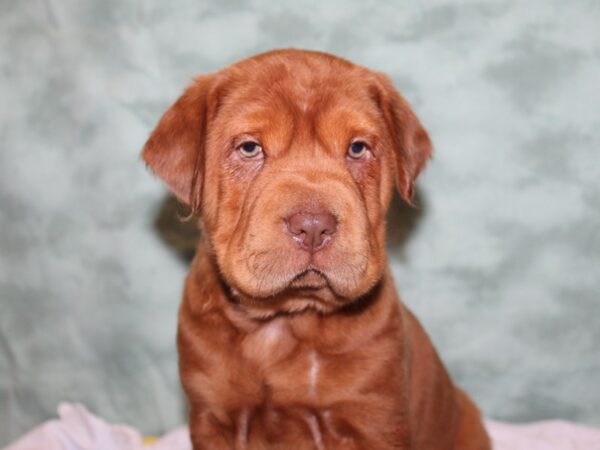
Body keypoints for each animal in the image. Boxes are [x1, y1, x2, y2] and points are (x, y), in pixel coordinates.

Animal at [143, 49, 490, 450]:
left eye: (357, 148)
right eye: (249, 148)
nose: (312, 225)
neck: (286, 321)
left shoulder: (374, 420)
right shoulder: (212, 418)